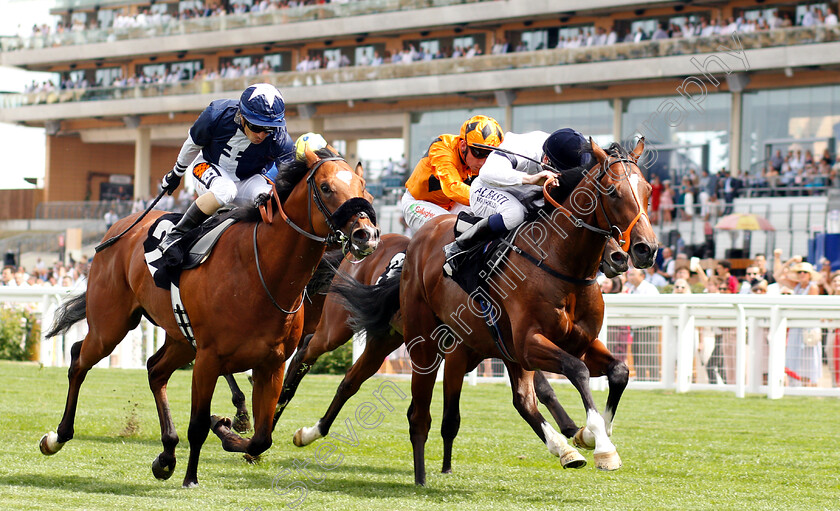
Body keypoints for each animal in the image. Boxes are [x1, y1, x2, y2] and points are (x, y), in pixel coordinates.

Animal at [39, 145, 378, 488]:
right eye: (326, 187)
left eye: (365, 190)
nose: (366, 234)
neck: (262, 272)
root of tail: (119, 228)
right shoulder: (208, 359)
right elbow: (200, 424)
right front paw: (193, 475)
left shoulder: (272, 364)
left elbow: (261, 438)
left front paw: (226, 429)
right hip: (111, 325)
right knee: (79, 358)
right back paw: (56, 437)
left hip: (180, 339)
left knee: (155, 370)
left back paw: (166, 455)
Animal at [334, 138, 656, 486]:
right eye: (612, 191)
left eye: (648, 189)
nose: (644, 249)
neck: (560, 263)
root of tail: (418, 241)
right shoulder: (530, 344)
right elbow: (577, 370)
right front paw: (602, 445)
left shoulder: (579, 343)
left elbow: (620, 372)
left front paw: (592, 434)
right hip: (425, 344)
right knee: (418, 413)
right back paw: (419, 478)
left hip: (496, 347)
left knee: (522, 400)